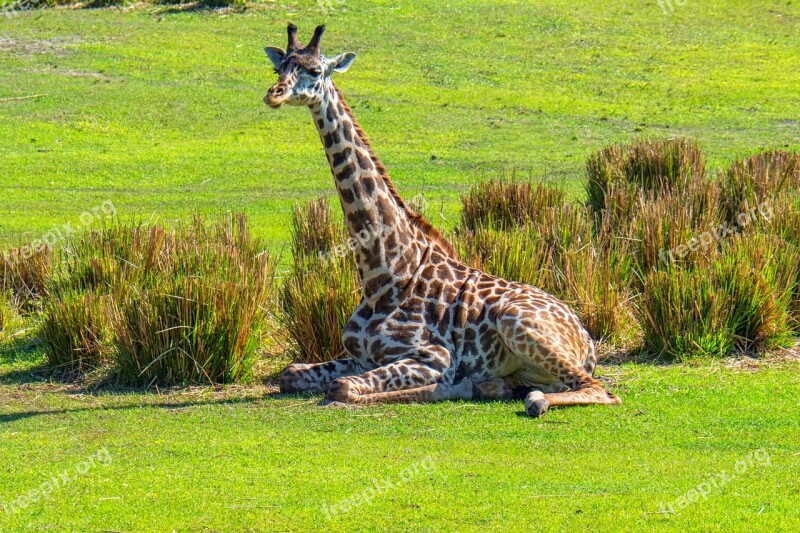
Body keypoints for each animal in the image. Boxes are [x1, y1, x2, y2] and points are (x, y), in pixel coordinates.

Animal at [266, 25, 620, 416]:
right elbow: (290, 373)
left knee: (601, 391)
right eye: (279, 68)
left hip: (518, 322)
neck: (383, 273)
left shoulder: (434, 356)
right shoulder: (360, 356)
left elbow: (343, 387)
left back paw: (531, 399)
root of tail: (586, 338)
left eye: (315, 70)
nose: (274, 94)